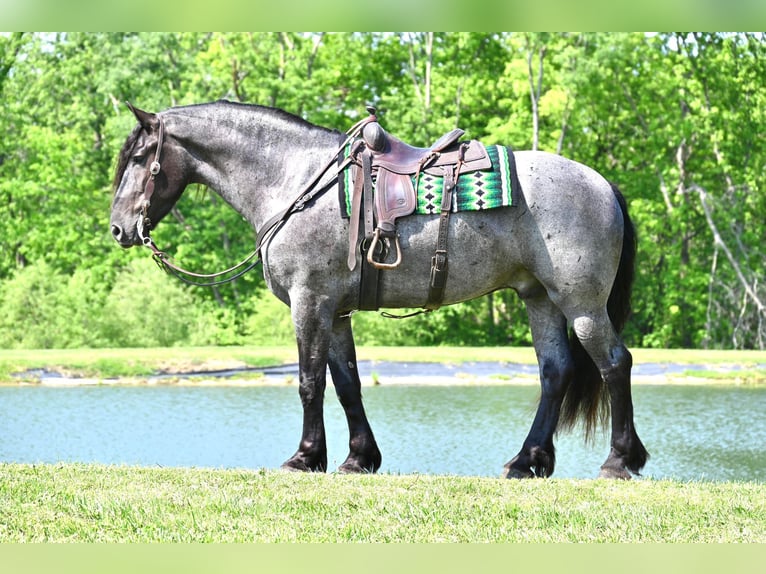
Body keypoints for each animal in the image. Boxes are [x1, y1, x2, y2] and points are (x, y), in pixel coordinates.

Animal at [108, 100, 648, 482]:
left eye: (139, 157)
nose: (118, 229)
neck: (295, 182)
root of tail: (602, 184)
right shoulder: (336, 312)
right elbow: (347, 383)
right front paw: (358, 458)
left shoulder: (310, 303)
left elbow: (309, 381)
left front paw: (305, 458)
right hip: (540, 299)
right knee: (555, 373)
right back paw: (527, 461)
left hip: (581, 303)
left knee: (614, 364)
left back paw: (620, 461)